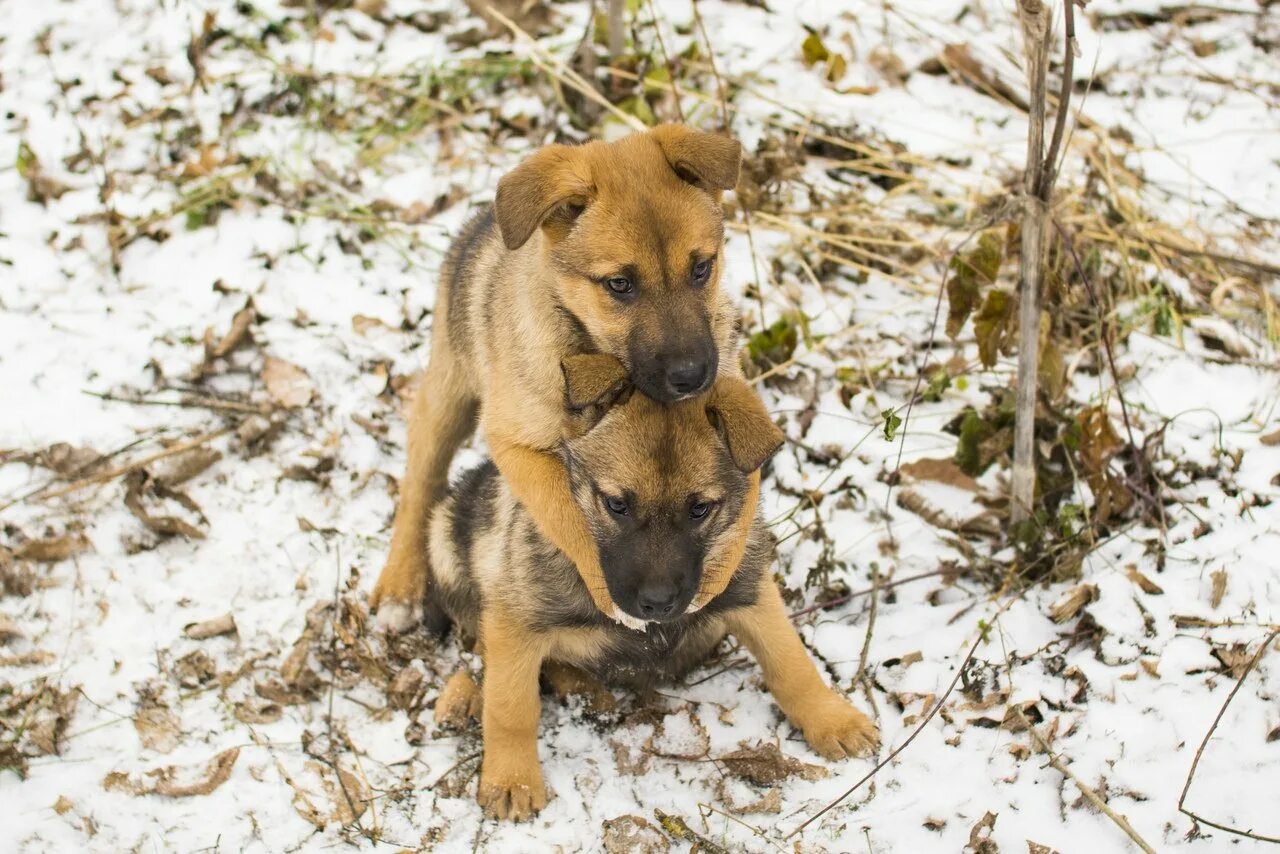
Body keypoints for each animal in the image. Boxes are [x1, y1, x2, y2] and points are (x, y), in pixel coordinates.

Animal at [368, 128, 747, 635]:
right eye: (620, 285)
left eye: (702, 268)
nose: (692, 377)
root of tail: (481, 221)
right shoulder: (517, 444)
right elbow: (567, 516)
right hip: (446, 397)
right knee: (419, 484)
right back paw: (400, 585)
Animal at [424, 353, 875, 819]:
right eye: (616, 505)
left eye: (699, 509)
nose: (657, 604)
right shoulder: (516, 617)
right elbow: (511, 706)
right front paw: (513, 779)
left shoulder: (749, 591)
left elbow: (792, 662)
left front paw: (832, 719)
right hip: (446, 547)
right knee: (479, 644)